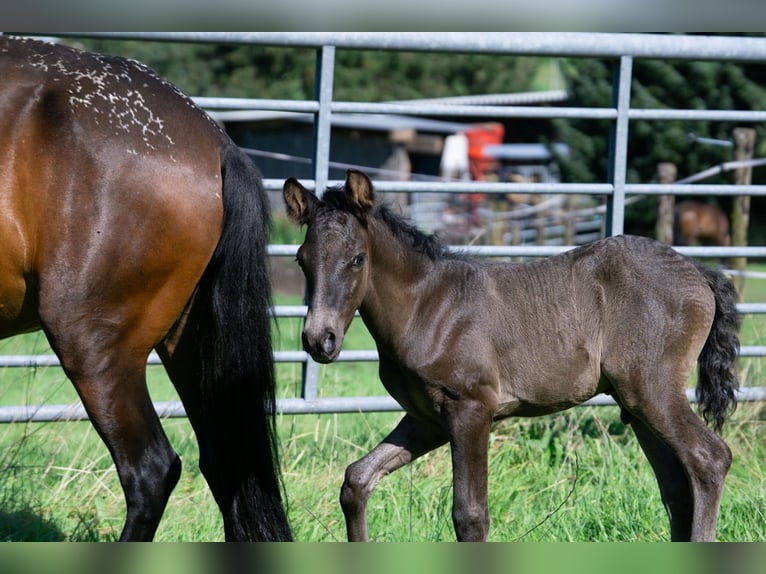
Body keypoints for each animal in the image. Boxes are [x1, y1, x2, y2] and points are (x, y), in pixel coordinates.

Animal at [284, 169, 740, 544]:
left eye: (357, 259)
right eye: (301, 261)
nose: (319, 340)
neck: (426, 307)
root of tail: (700, 273)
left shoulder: (471, 409)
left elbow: (470, 515)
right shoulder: (426, 418)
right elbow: (357, 480)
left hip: (652, 391)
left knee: (709, 459)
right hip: (636, 404)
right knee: (677, 489)